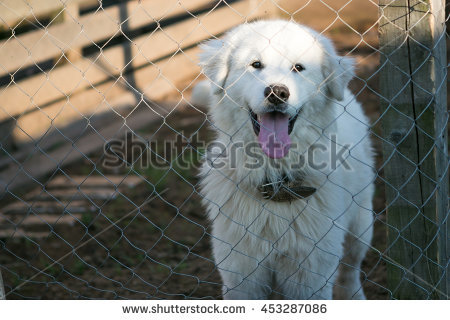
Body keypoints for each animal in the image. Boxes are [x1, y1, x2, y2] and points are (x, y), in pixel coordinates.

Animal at [192, 20, 372, 300]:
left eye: (298, 68)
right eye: (256, 64)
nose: (277, 92)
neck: (276, 178)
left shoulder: (311, 276)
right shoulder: (242, 276)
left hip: (360, 225)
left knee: (350, 271)